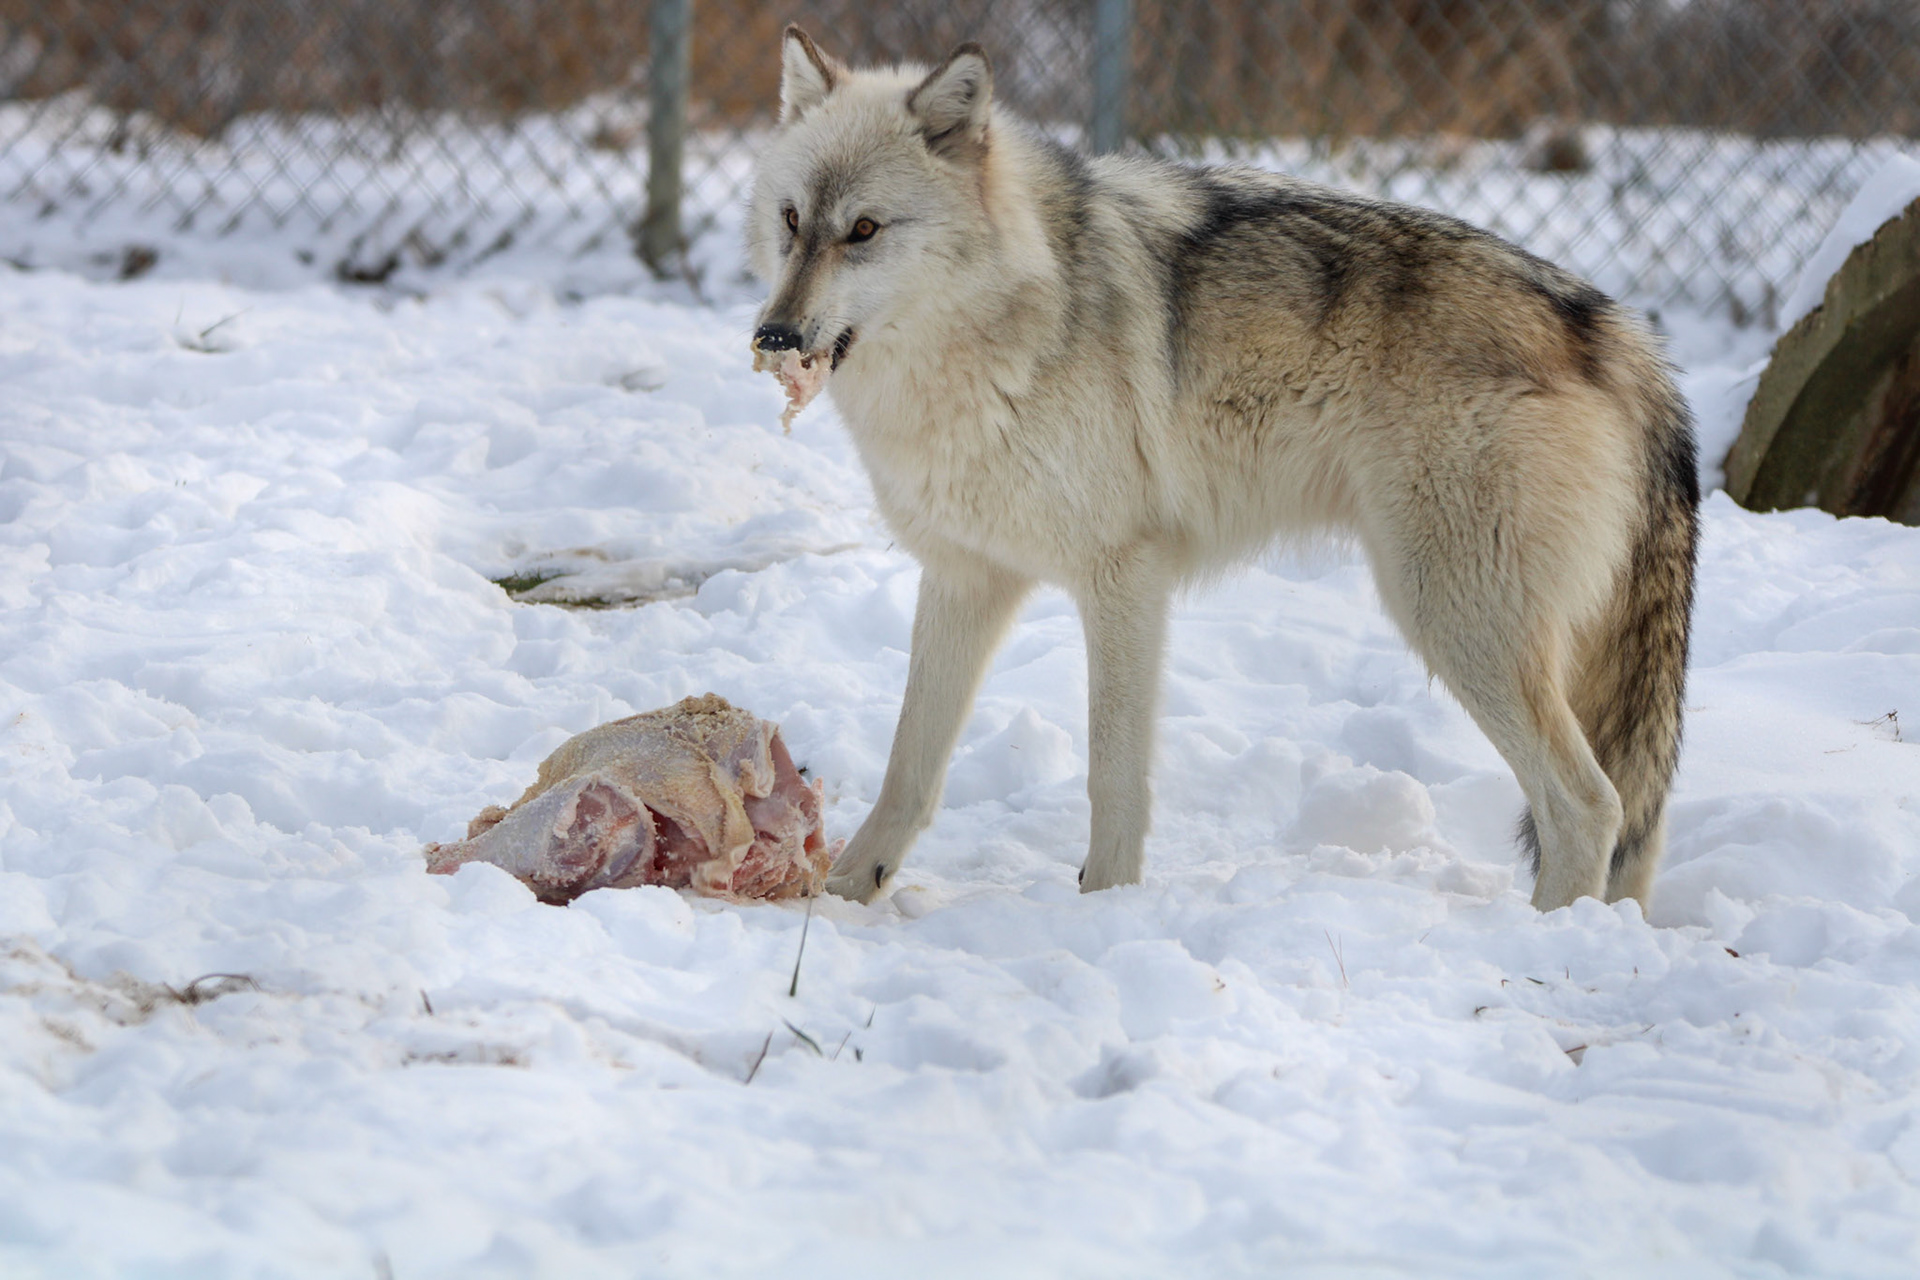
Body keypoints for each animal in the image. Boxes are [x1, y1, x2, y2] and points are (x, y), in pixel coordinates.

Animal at [747, 27, 1699, 912]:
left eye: (864, 230)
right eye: (793, 221)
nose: (774, 336)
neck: (998, 335)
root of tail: (1617, 331)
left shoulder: (1123, 577)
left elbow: (1113, 773)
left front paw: (1108, 908)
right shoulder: (965, 575)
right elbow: (910, 765)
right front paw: (844, 895)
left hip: (1453, 616)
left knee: (1588, 805)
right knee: (1627, 818)